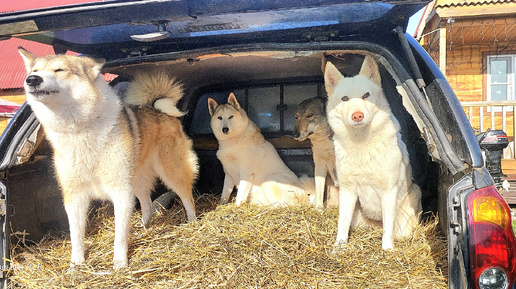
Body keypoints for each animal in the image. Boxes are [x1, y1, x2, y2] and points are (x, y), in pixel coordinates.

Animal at [18, 47, 200, 268]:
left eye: (59, 70)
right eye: (34, 70)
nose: (32, 80)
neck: (79, 131)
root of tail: (157, 108)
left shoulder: (120, 190)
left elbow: (119, 235)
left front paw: (120, 263)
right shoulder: (75, 195)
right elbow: (76, 235)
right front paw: (76, 265)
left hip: (171, 171)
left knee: (187, 197)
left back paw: (192, 222)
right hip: (136, 179)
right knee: (147, 205)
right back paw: (144, 228)